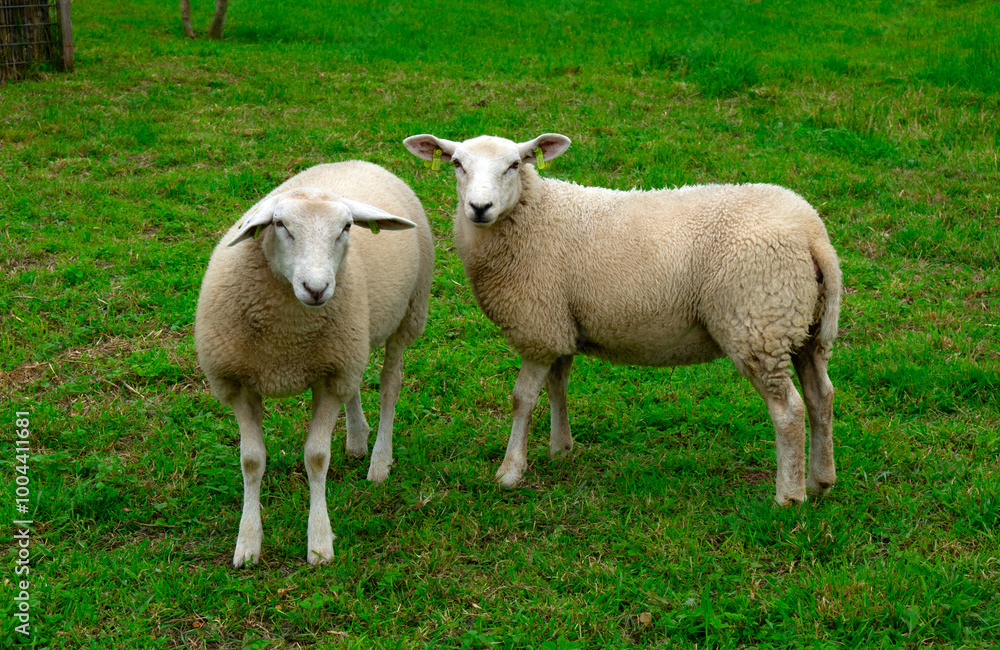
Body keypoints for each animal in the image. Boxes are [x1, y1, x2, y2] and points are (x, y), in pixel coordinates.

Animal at [194, 160, 434, 566]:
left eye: (346, 227)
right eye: (280, 225)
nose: (317, 288)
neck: (286, 340)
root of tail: (357, 161)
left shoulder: (329, 379)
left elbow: (317, 458)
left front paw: (320, 542)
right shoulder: (240, 383)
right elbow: (251, 461)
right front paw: (248, 543)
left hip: (408, 315)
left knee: (390, 385)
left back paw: (379, 460)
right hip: (352, 340)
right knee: (357, 383)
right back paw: (357, 439)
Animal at [403, 133, 842, 506]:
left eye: (514, 164)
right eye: (457, 164)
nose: (479, 208)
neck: (533, 214)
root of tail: (813, 232)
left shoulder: (538, 326)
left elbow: (522, 399)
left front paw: (510, 471)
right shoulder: (561, 324)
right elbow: (558, 387)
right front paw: (561, 448)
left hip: (757, 324)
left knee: (788, 410)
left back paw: (789, 495)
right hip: (802, 328)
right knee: (821, 396)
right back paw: (821, 480)